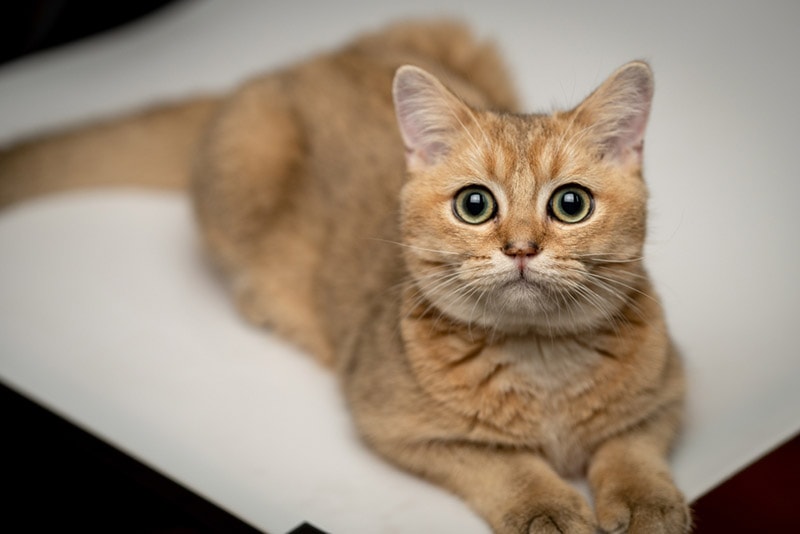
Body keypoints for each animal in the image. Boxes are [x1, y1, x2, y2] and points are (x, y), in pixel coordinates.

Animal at [0, 21, 688, 534]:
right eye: (475, 205)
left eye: (571, 204)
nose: (521, 247)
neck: (541, 360)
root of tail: (302, 62)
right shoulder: (395, 424)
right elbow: (501, 462)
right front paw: (545, 505)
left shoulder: (671, 391)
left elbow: (630, 444)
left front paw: (647, 500)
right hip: (243, 159)